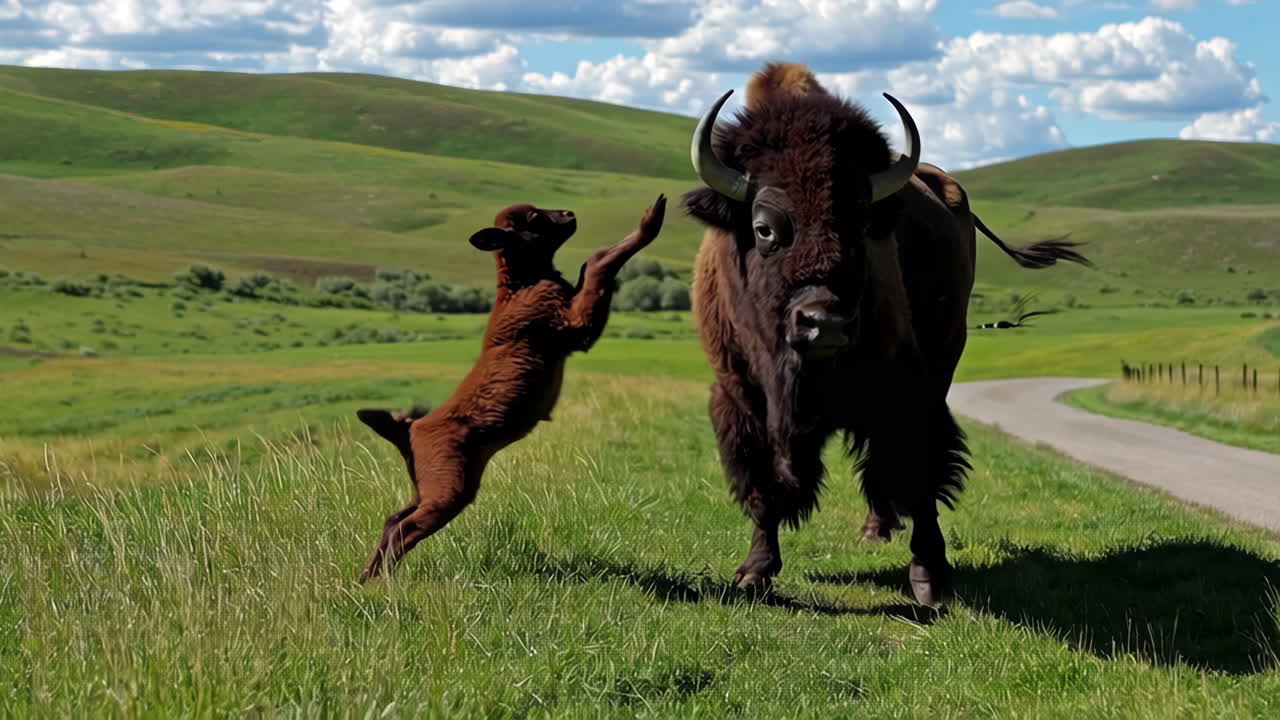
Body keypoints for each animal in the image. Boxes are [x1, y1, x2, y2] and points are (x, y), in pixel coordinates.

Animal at [356, 196, 667, 583]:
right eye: (534, 218)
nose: (569, 214)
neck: (522, 283)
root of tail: (409, 430)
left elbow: (590, 270)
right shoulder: (575, 326)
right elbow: (597, 267)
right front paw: (651, 221)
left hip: (427, 484)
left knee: (392, 521)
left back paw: (367, 580)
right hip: (447, 487)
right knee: (404, 528)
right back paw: (381, 582)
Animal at [682, 62, 1090, 606]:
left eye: (859, 224)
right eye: (765, 228)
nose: (825, 323)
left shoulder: (906, 392)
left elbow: (918, 472)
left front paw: (929, 578)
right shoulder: (741, 397)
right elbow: (764, 483)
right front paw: (754, 573)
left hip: (941, 360)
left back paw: (883, 530)